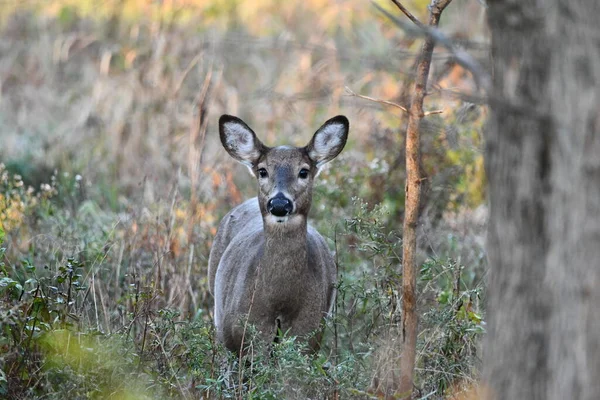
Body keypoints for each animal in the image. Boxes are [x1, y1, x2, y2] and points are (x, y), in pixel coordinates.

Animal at [211, 113, 350, 354]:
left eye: (303, 171)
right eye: (262, 171)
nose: (278, 204)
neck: (280, 302)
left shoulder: (309, 337)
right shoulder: (239, 336)